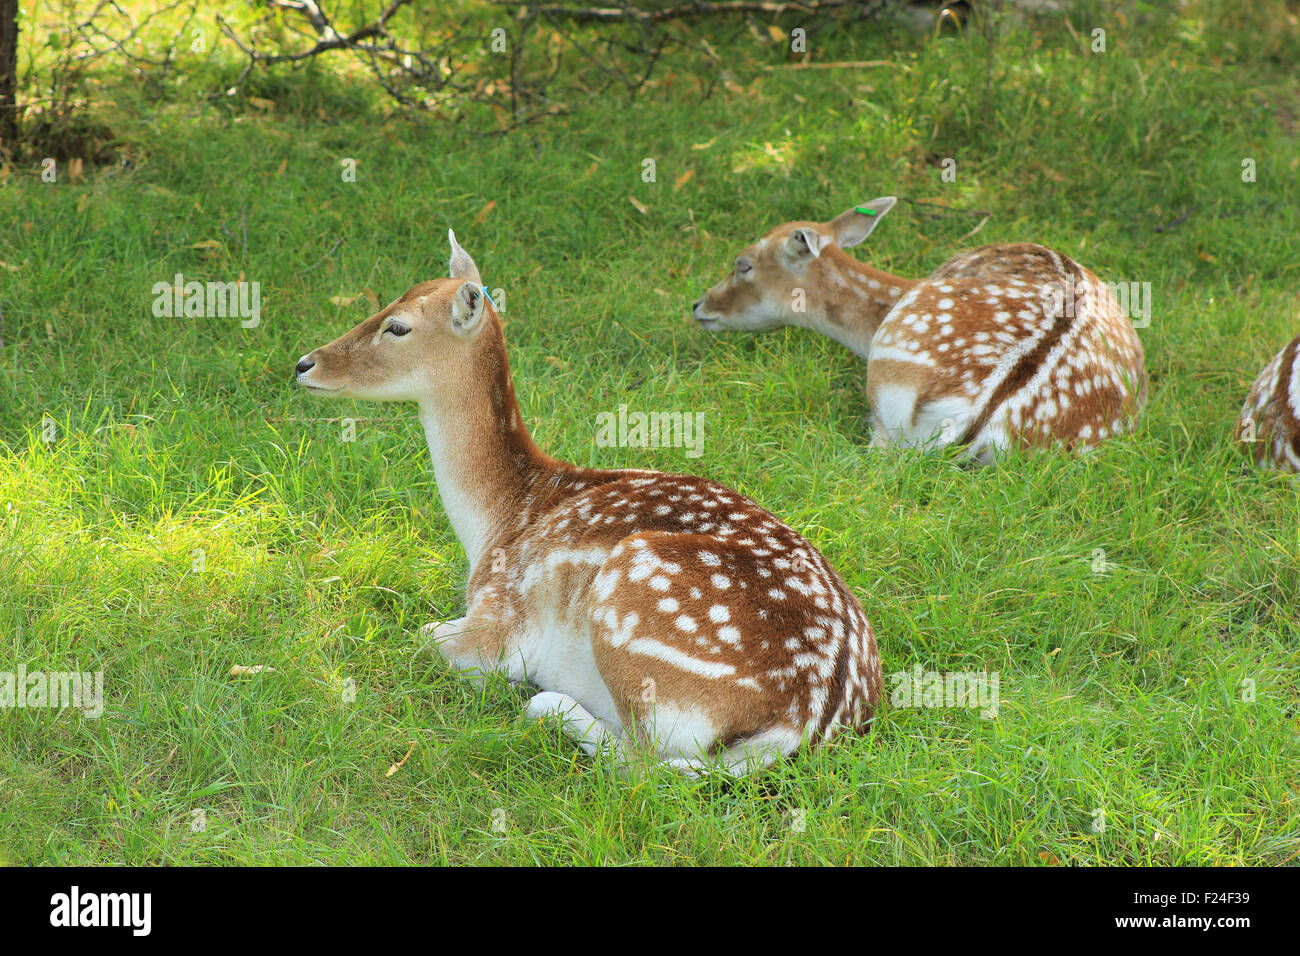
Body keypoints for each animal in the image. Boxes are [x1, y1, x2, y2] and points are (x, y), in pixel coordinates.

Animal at [295, 231, 883, 780]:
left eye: (398, 327)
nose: (304, 363)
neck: (500, 521)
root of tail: (801, 722)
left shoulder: (498, 619)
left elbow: (425, 639)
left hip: (634, 599)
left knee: (639, 762)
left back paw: (549, 702)